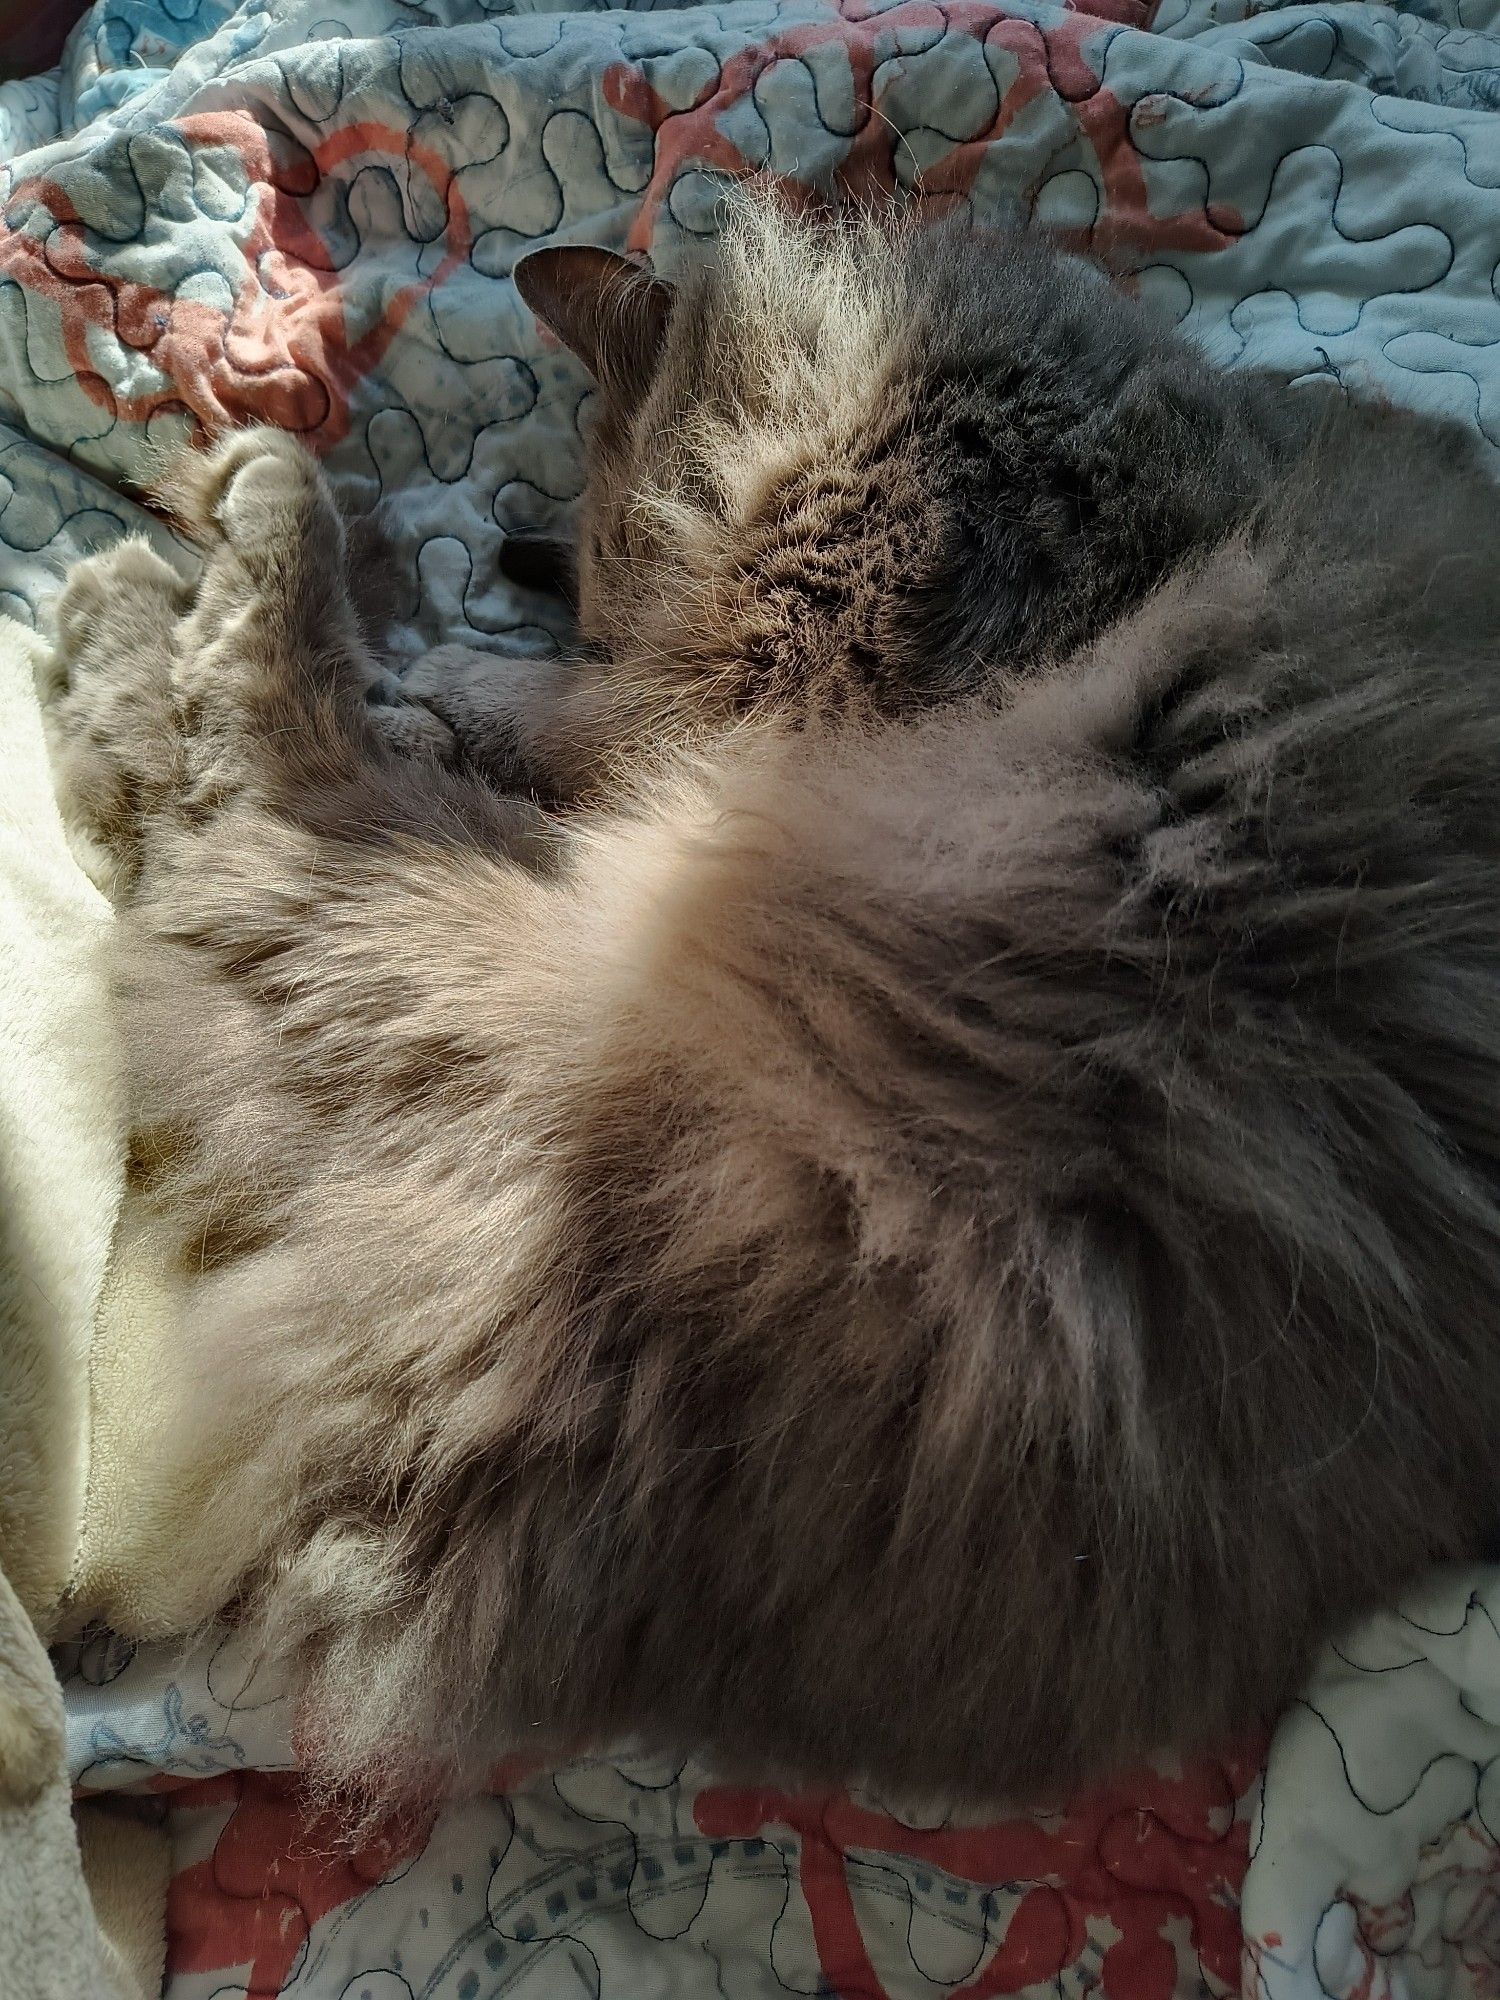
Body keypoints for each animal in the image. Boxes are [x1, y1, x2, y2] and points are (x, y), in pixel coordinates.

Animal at [44, 191, 1500, 1816]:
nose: (586, 592)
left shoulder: (795, 673)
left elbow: (589, 722)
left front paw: (459, 690)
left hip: (503, 982)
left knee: (243, 793)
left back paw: (181, 549)